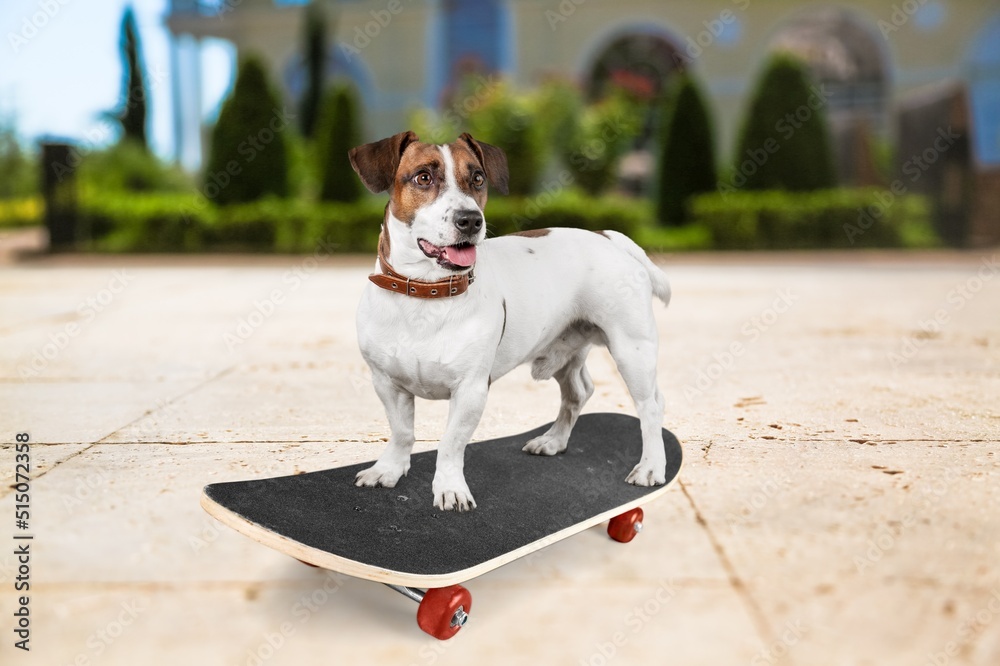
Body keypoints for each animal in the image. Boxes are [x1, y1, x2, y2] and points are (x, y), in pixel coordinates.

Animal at [348, 132, 668, 510]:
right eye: (423, 177)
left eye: (477, 178)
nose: (470, 220)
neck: (427, 292)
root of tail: (607, 236)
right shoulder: (387, 384)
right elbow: (401, 432)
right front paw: (389, 470)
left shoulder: (471, 390)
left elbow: (450, 444)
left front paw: (450, 487)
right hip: (566, 347)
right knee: (577, 393)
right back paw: (553, 441)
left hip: (633, 351)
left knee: (650, 407)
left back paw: (650, 467)